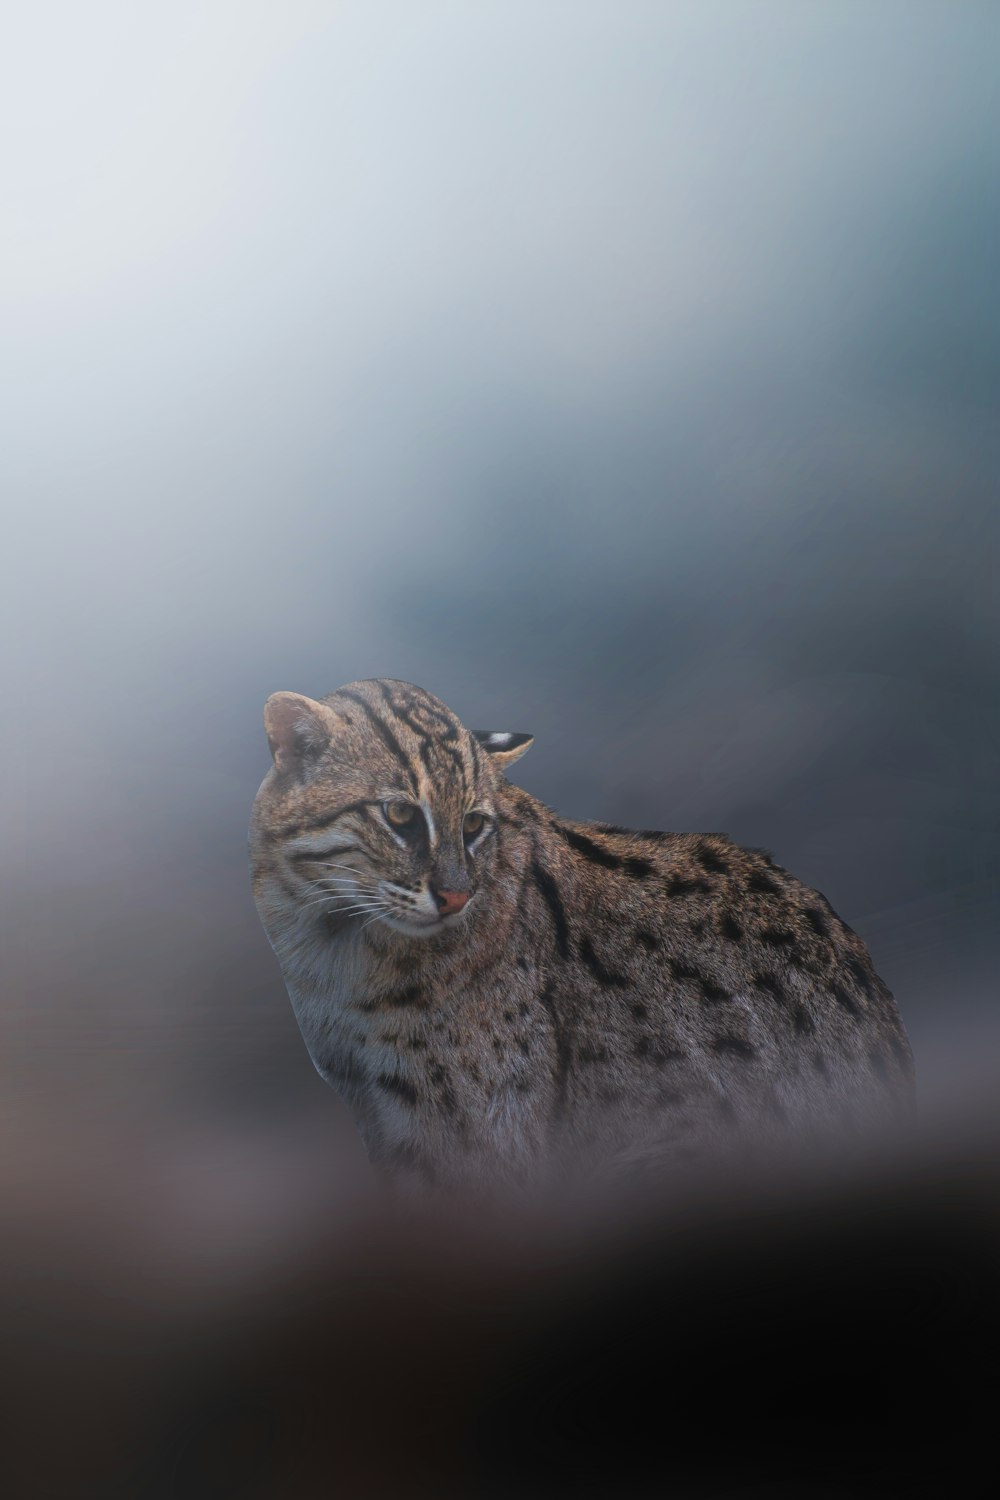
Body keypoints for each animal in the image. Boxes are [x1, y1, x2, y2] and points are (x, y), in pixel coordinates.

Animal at [248, 684, 917, 1194]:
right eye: (401, 816)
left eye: (474, 824)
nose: (458, 897)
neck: (336, 939)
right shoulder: (385, 1122)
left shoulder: (479, 1135)